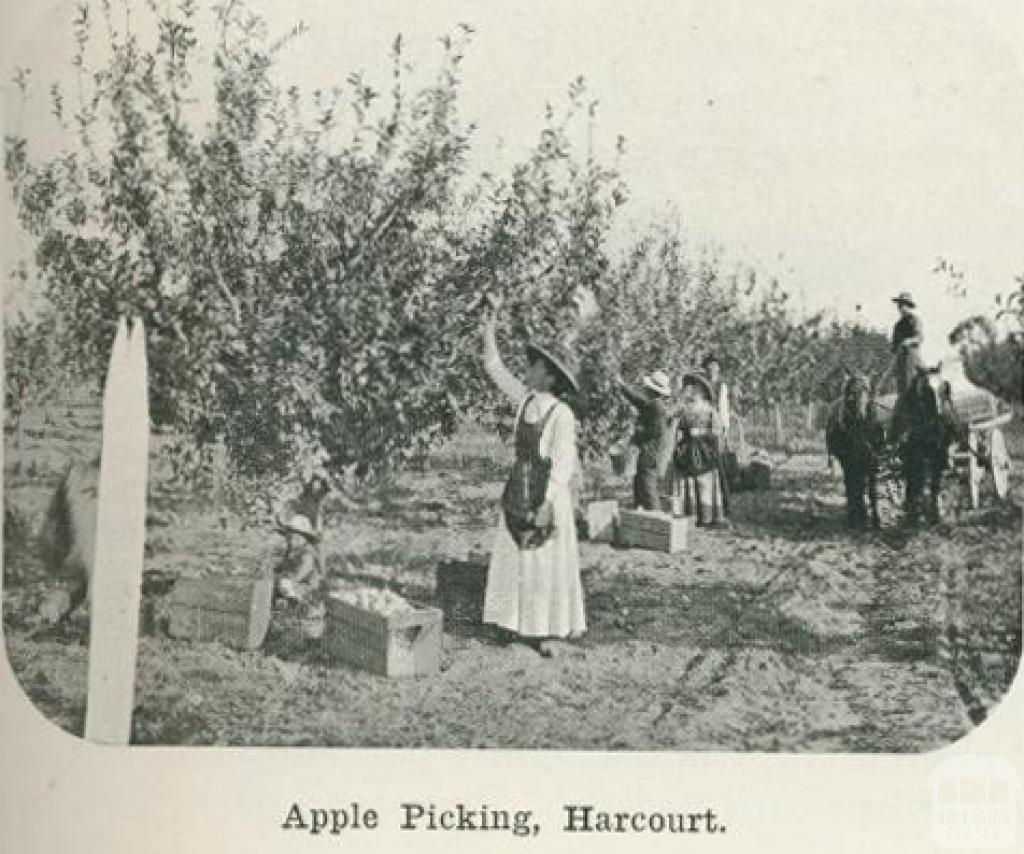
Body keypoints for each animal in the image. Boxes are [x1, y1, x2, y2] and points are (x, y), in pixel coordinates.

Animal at [823, 372, 888, 524]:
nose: (860, 414)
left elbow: (871, 490)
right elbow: (852, 486)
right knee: (853, 484)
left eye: (867, 389)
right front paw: (856, 516)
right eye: (851, 392)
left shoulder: (872, 460)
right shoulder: (849, 461)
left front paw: (876, 520)